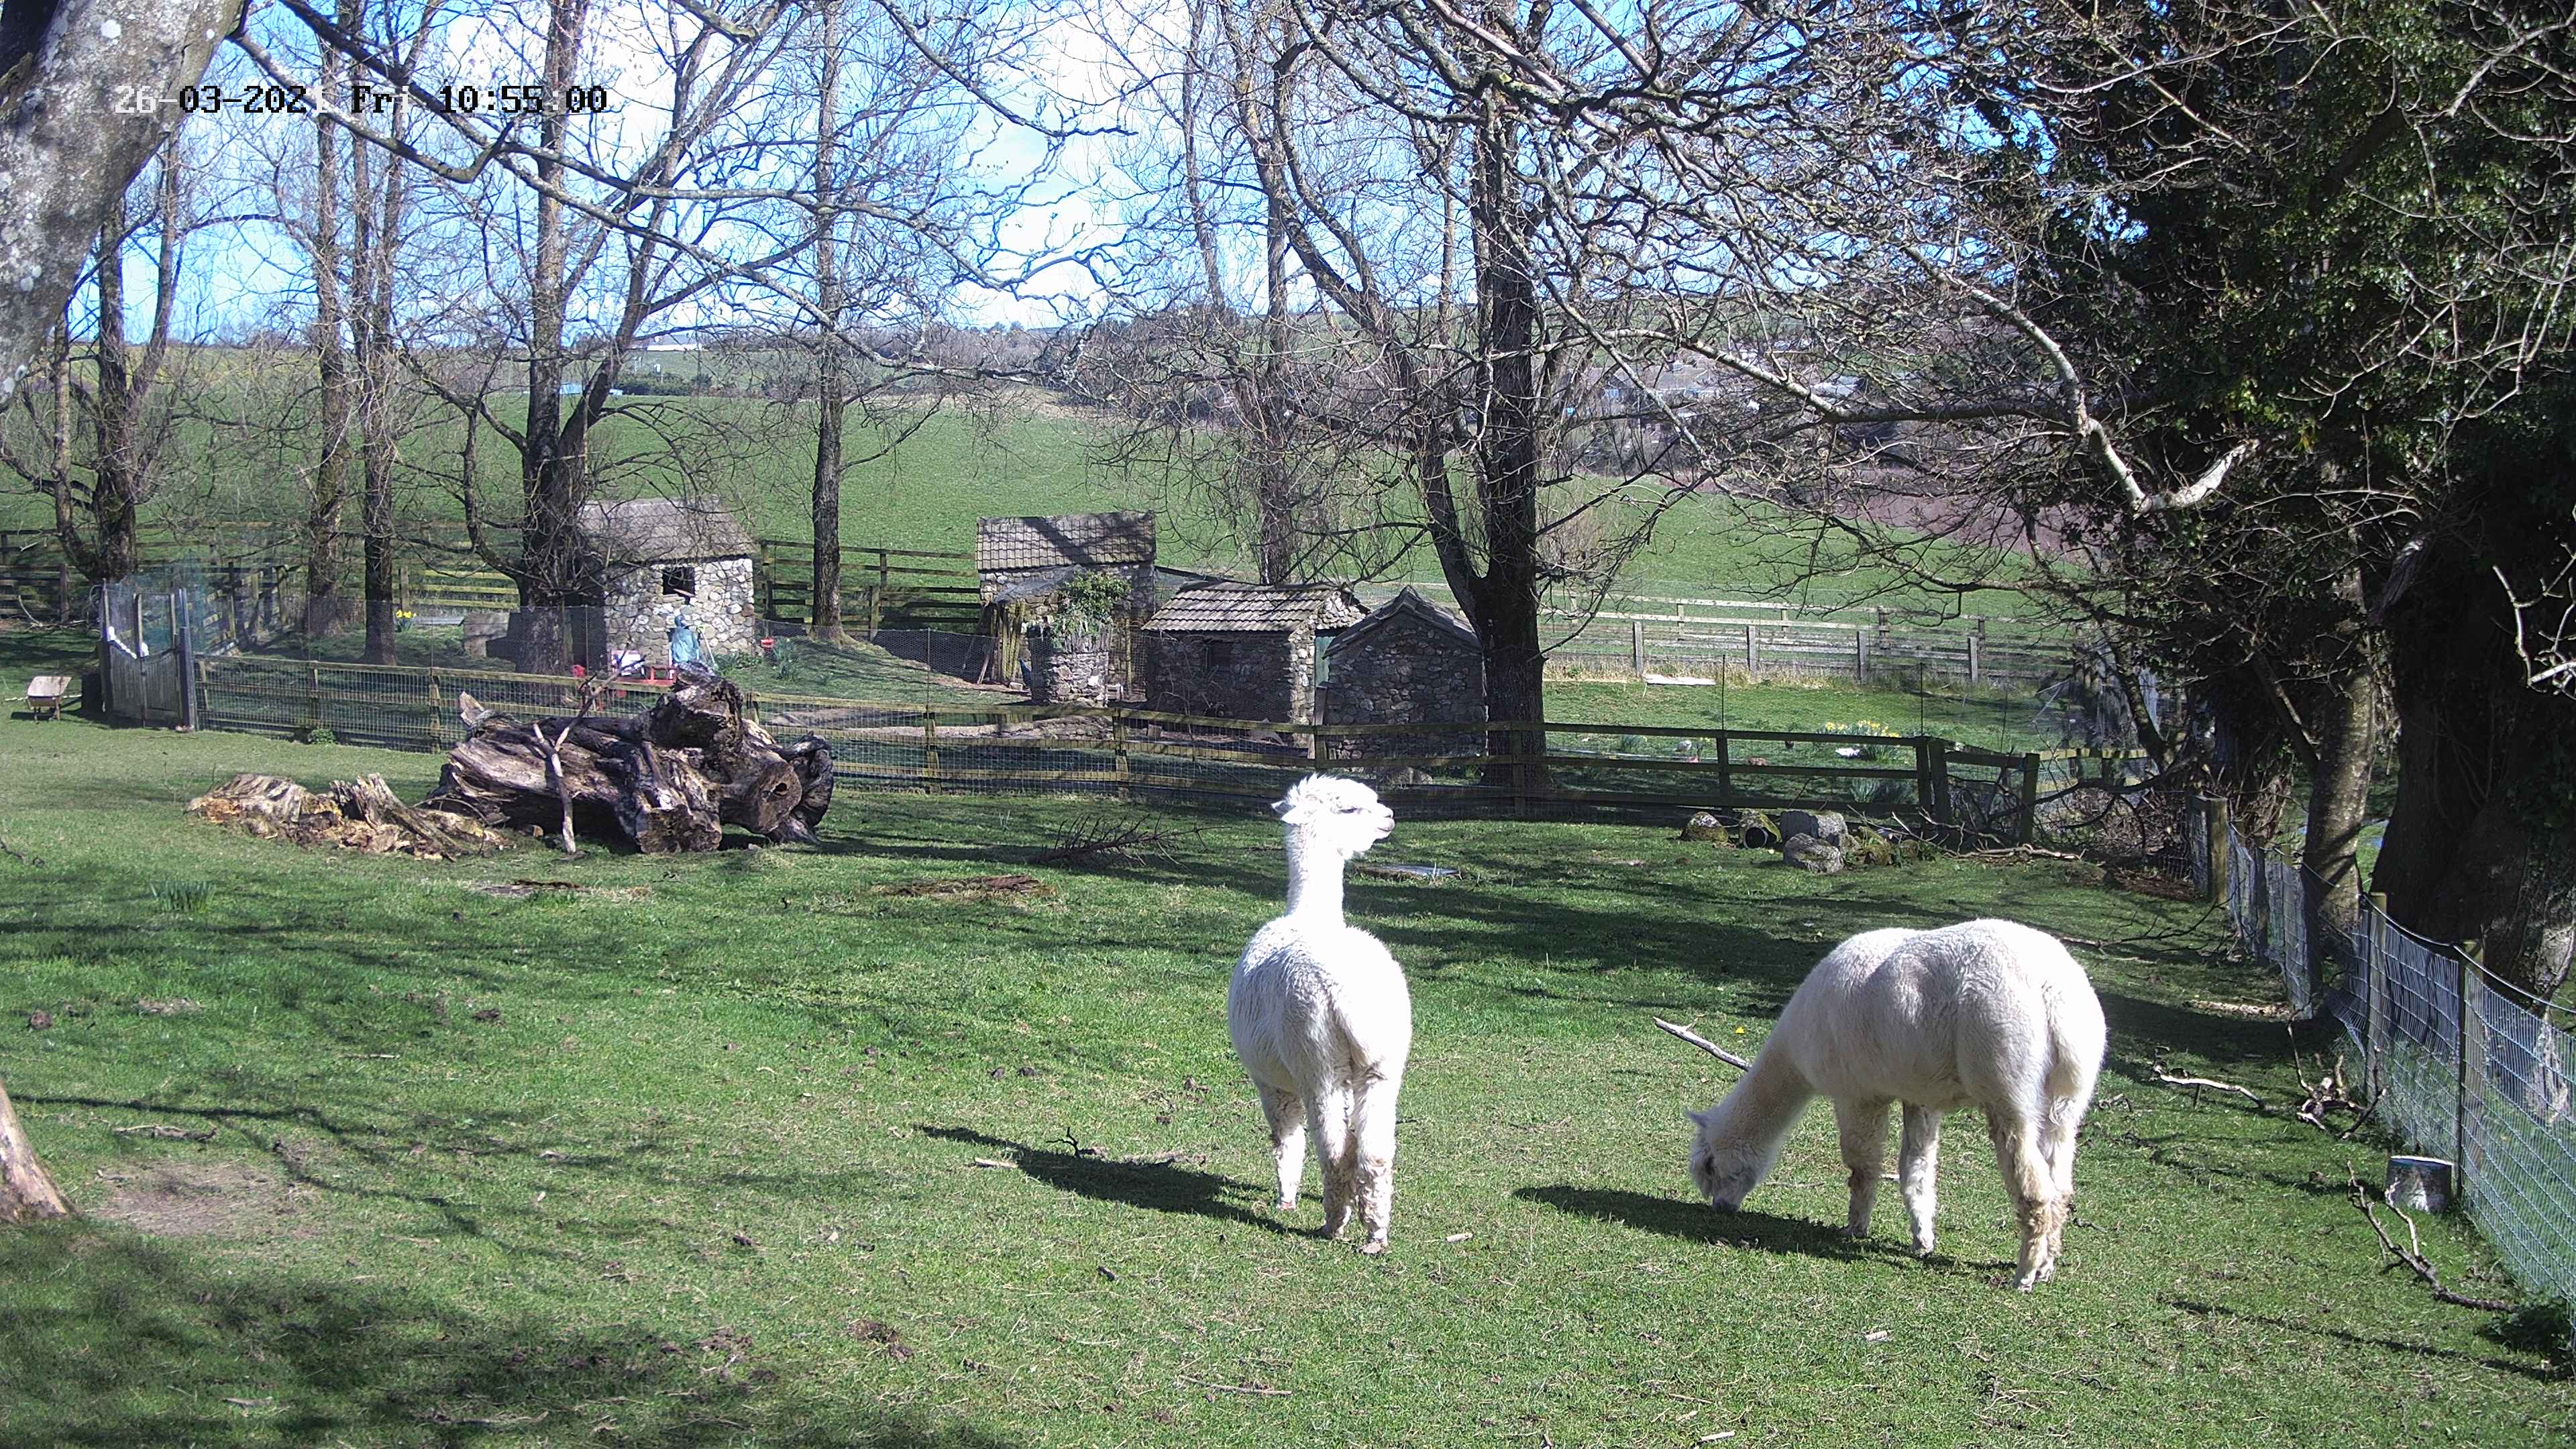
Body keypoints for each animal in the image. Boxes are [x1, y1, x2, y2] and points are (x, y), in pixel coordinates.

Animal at [1229, 774, 1413, 1252]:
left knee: (1330, 1146)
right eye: (1349, 808)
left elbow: (1285, 1138)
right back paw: (1375, 1232)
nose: (1389, 817)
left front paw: (1286, 1198)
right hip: (1383, 1062)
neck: (1308, 914)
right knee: (1374, 1150)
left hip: (1315, 1056)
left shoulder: (1268, 1079)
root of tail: (1346, 992)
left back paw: (1334, 1222)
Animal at [1686, 919, 2106, 1289]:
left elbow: (1862, 1166)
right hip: (2067, 1096)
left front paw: (1854, 1228)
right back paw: (2047, 1266)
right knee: (2061, 1185)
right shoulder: (1920, 1094)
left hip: (2006, 1074)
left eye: (1710, 1167)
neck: (1794, 1051)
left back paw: (2024, 1275)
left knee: (2036, 1188)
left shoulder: (1858, 1092)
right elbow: (1916, 1170)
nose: (1721, 1207)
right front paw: (1922, 1240)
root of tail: (2052, 990)